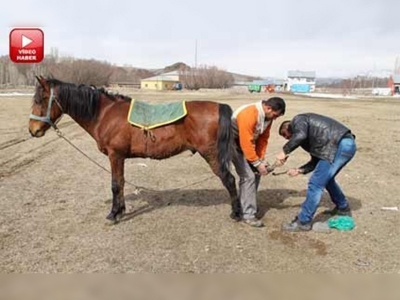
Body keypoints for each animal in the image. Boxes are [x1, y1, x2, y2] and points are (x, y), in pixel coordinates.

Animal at [29, 77, 241, 223]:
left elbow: (115, 184)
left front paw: (113, 214)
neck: (105, 113)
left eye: (40, 99)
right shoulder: (120, 157)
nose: (32, 130)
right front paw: (121, 210)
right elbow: (121, 183)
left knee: (230, 180)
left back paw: (236, 213)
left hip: (212, 155)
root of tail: (219, 106)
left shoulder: (115, 155)